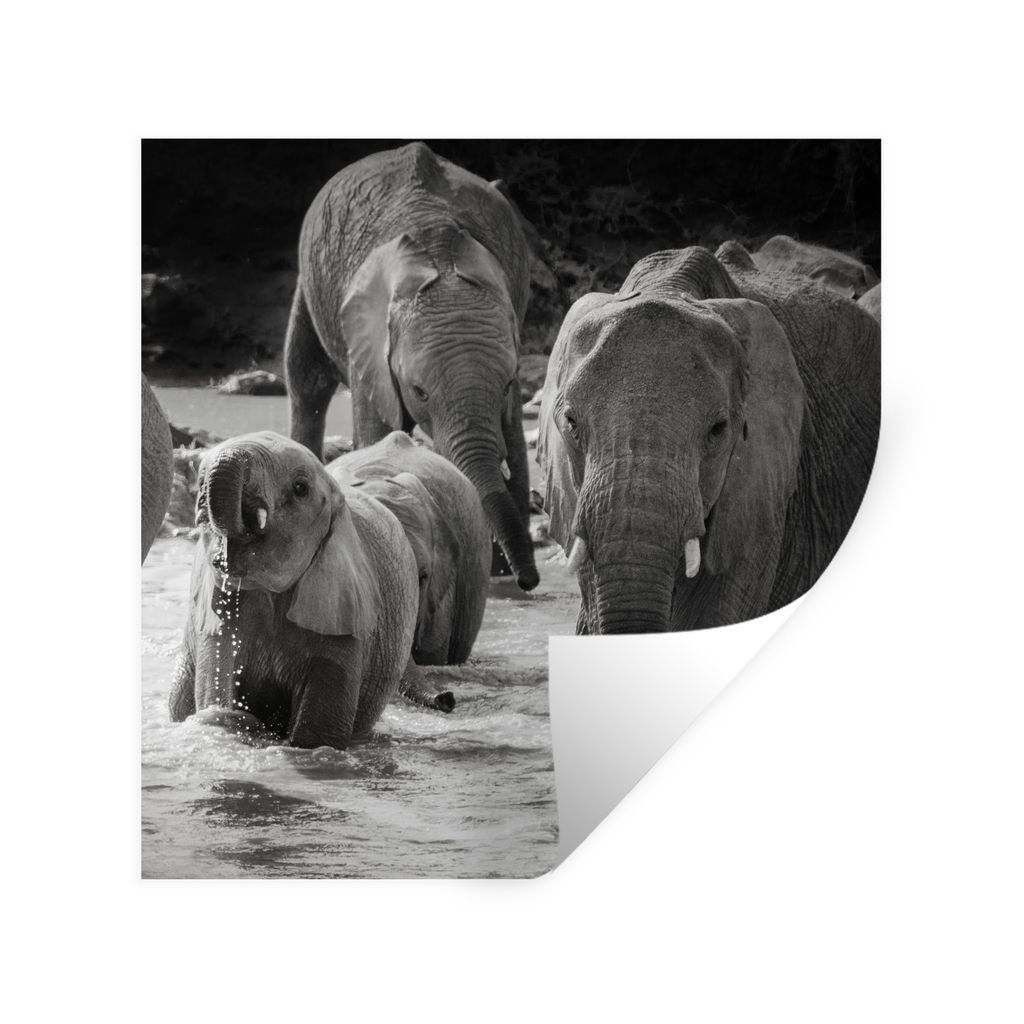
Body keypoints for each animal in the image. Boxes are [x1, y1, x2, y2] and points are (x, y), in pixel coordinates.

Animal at [168, 431, 419, 749]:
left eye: (300, 488)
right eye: (200, 482)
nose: (223, 553)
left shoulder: (345, 619)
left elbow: (317, 734)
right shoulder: (216, 619)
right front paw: (232, 720)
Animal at [284, 141, 539, 592]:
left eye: (510, 384)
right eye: (420, 391)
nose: (530, 581)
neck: (439, 253)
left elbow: (512, 441)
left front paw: (498, 581)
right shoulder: (367, 346)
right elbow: (375, 435)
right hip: (310, 286)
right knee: (306, 380)